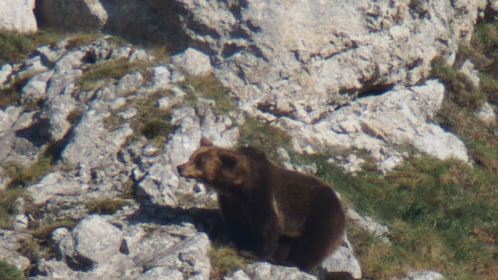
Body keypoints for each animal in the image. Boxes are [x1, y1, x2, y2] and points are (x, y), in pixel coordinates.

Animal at [177, 137, 344, 270]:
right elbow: (237, 222)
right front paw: (238, 243)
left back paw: (294, 263)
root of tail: (340, 206)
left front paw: (256, 253)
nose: (180, 167)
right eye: (191, 156)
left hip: (320, 216)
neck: (237, 185)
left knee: (313, 245)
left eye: (199, 162)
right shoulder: (232, 201)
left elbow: (266, 223)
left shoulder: (261, 192)